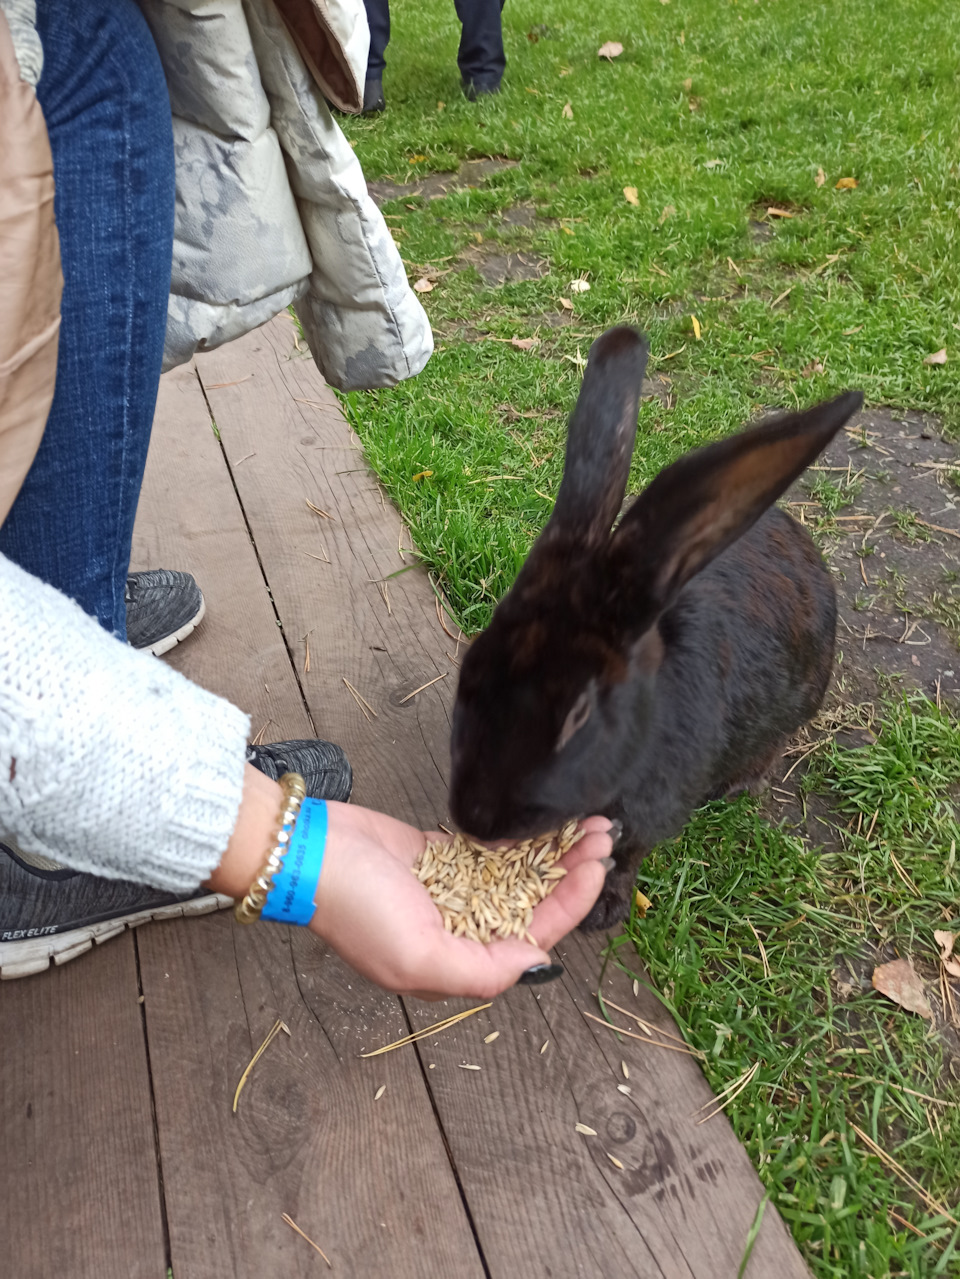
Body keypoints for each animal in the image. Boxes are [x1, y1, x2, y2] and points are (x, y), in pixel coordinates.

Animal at [449, 329, 864, 931]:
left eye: (579, 714)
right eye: (472, 669)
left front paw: (605, 909)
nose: (476, 820)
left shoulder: (654, 808)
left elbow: (629, 854)